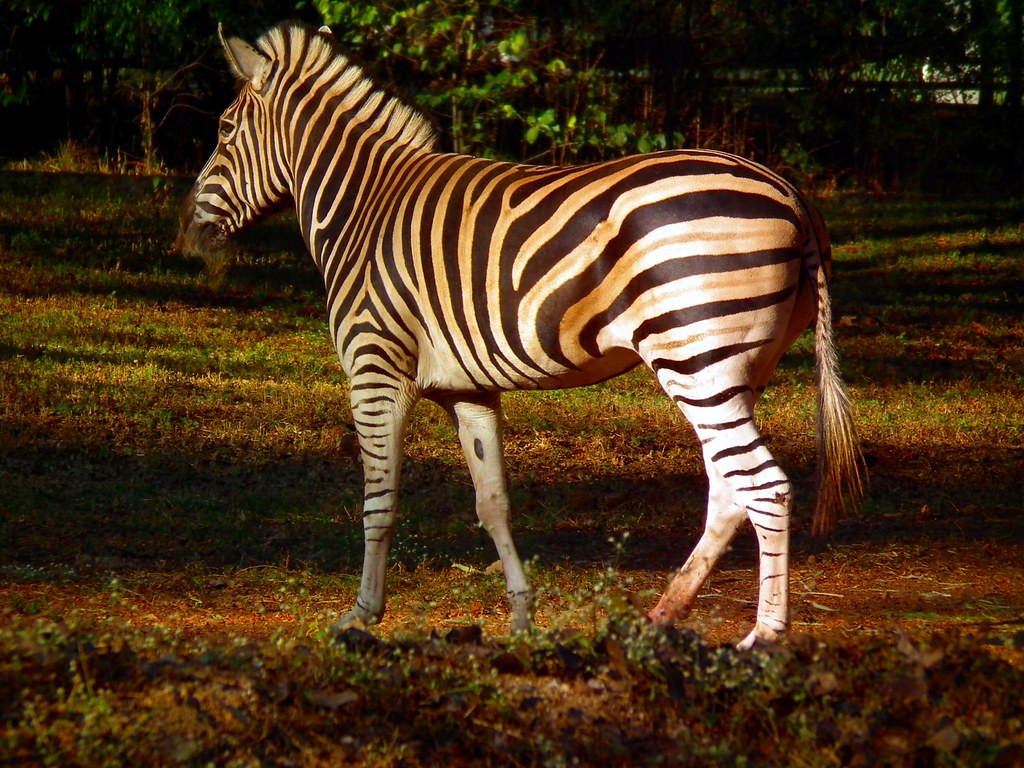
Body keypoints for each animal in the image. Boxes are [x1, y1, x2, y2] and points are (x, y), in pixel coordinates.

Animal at [178, 22, 863, 649]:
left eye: (224, 130)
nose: (187, 232)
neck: (363, 210)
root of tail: (791, 195)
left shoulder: (375, 368)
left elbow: (380, 497)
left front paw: (362, 615)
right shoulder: (467, 389)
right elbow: (493, 503)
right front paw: (521, 619)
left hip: (697, 357)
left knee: (763, 487)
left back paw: (764, 637)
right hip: (736, 367)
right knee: (729, 491)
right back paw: (659, 617)